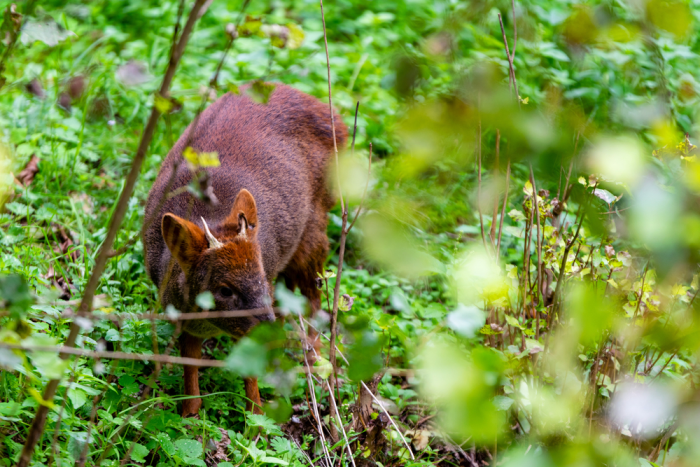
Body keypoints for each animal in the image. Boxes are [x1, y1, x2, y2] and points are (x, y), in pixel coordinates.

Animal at [143, 84, 348, 416]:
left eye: (261, 275)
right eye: (224, 289)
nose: (268, 327)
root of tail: (336, 120)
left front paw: (257, 415)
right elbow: (190, 362)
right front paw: (190, 412)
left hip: (314, 227)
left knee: (314, 298)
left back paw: (316, 365)